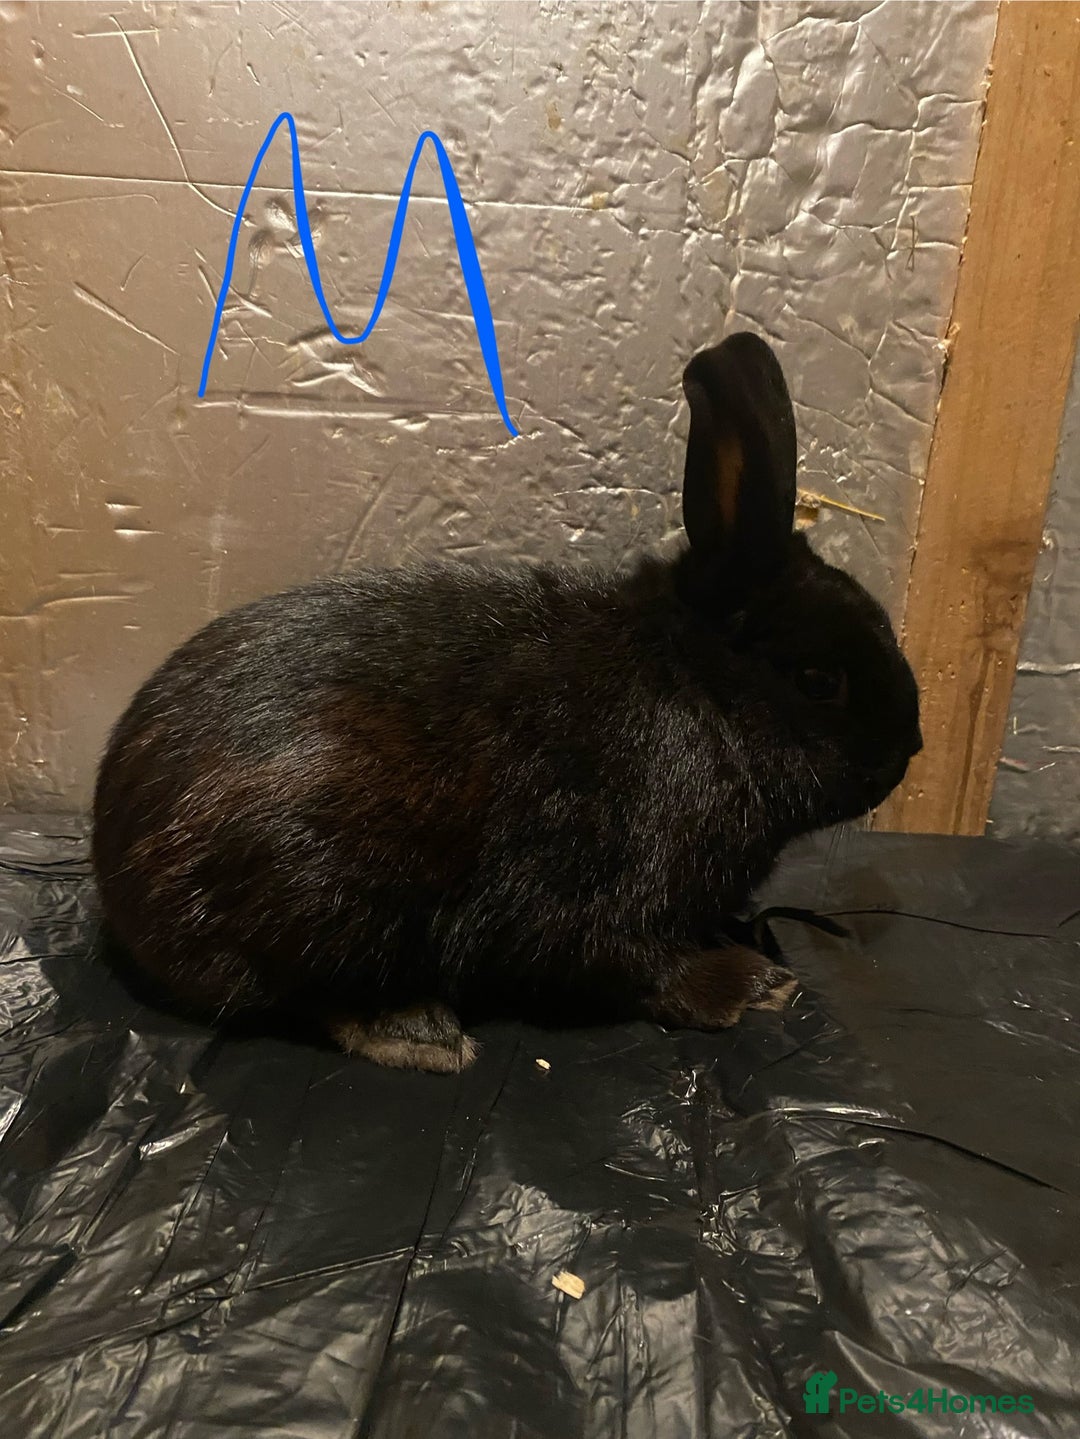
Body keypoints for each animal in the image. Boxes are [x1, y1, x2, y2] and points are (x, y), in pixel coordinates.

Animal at [92, 332, 922, 1073]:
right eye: (819, 680)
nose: (906, 751)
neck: (697, 688)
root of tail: (113, 872)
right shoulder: (608, 888)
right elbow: (634, 962)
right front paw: (754, 986)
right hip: (322, 889)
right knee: (308, 992)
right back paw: (421, 1033)